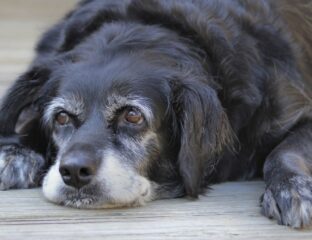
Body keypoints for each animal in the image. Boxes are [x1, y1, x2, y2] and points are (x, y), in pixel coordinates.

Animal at [0, 0, 312, 229]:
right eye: (62, 117)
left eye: (132, 116)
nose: (74, 171)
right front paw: (15, 152)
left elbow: (283, 152)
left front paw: (291, 188)